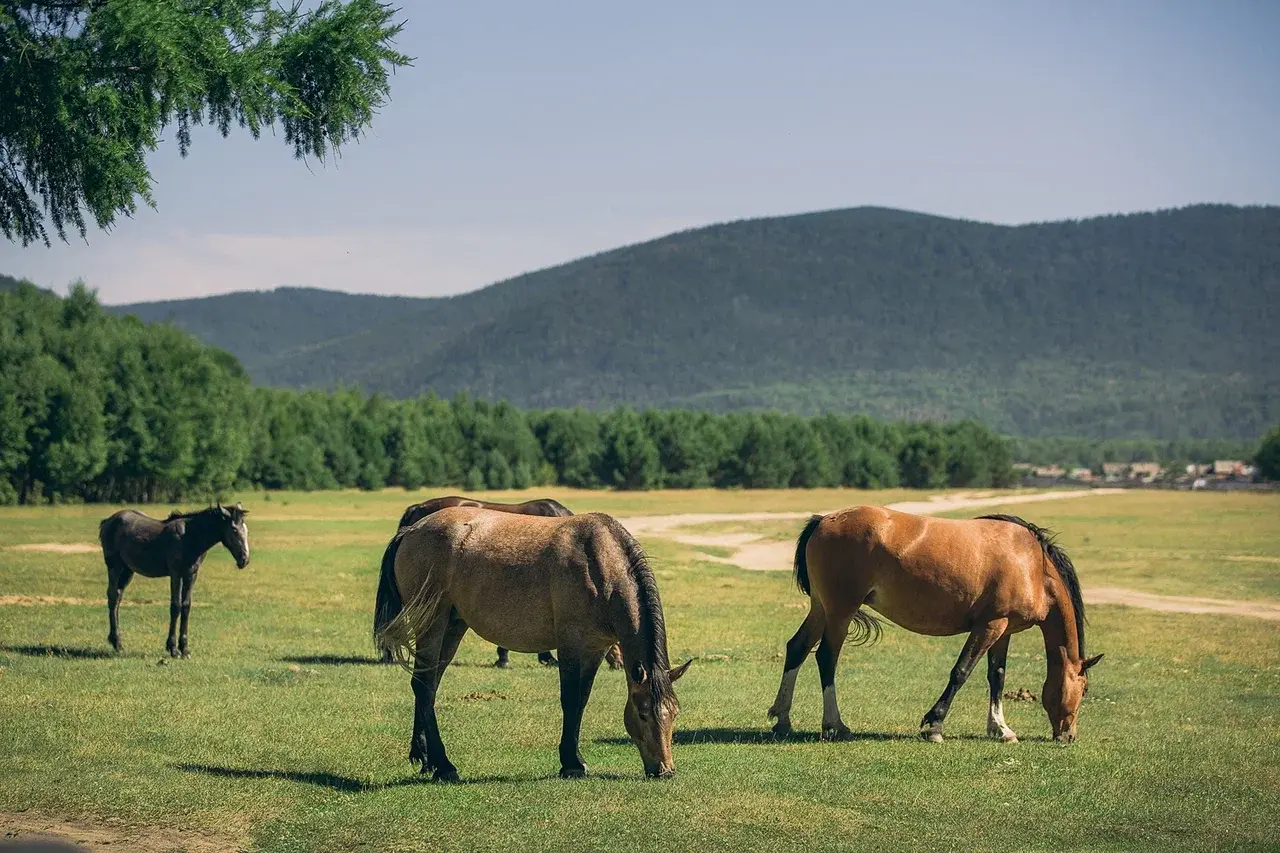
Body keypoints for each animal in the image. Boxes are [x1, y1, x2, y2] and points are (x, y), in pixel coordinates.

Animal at [98, 502, 251, 658]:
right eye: (234, 529)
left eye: (246, 529)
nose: (244, 560)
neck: (190, 537)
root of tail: (108, 521)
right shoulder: (176, 574)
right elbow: (176, 606)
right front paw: (173, 648)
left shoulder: (191, 575)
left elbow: (186, 606)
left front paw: (185, 649)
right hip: (115, 566)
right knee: (112, 596)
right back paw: (117, 644)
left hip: (128, 570)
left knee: (118, 596)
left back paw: (116, 642)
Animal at [767, 508, 1103, 745]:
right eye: (1084, 689)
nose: (1068, 735)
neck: (1032, 564)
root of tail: (823, 520)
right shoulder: (989, 626)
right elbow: (961, 672)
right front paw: (935, 725)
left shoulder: (1003, 631)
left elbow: (997, 676)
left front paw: (1001, 729)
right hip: (841, 611)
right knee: (826, 657)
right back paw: (834, 725)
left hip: (822, 609)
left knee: (797, 648)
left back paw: (782, 718)